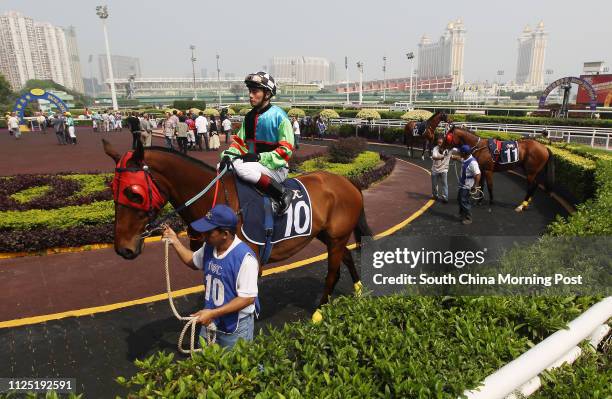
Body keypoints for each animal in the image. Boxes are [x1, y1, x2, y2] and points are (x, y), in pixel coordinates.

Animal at [104, 139, 372, 320]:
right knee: (347, 257)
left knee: (332, 273)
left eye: (134, 193)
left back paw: (319, 312)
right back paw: (359, 291)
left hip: (336, 237)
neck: (216, 201)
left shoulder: (249, 260)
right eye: (112, 188)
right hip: (329, 236)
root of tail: (348, 181)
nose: (123, 248)